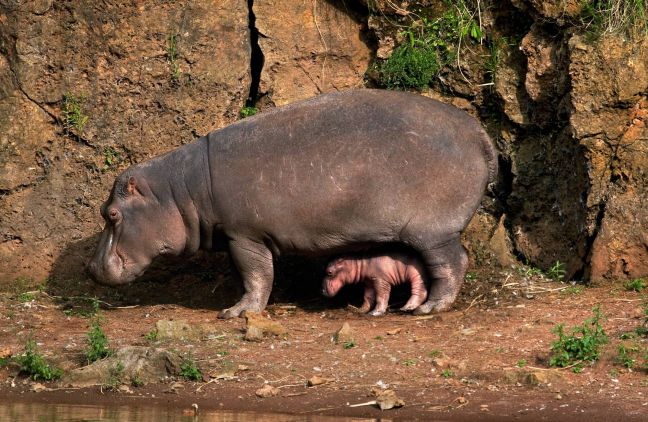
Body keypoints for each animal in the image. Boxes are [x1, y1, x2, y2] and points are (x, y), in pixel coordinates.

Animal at [87, 89, 496, 316]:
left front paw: (235, 312)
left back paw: (431, 308)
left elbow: (256, 274)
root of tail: (479, 132)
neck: (179, 190)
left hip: (434, 232)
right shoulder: (237, 235)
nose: (89, 268)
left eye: (111, 213)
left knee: (452, 263)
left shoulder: (244, 235)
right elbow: (252, 275)